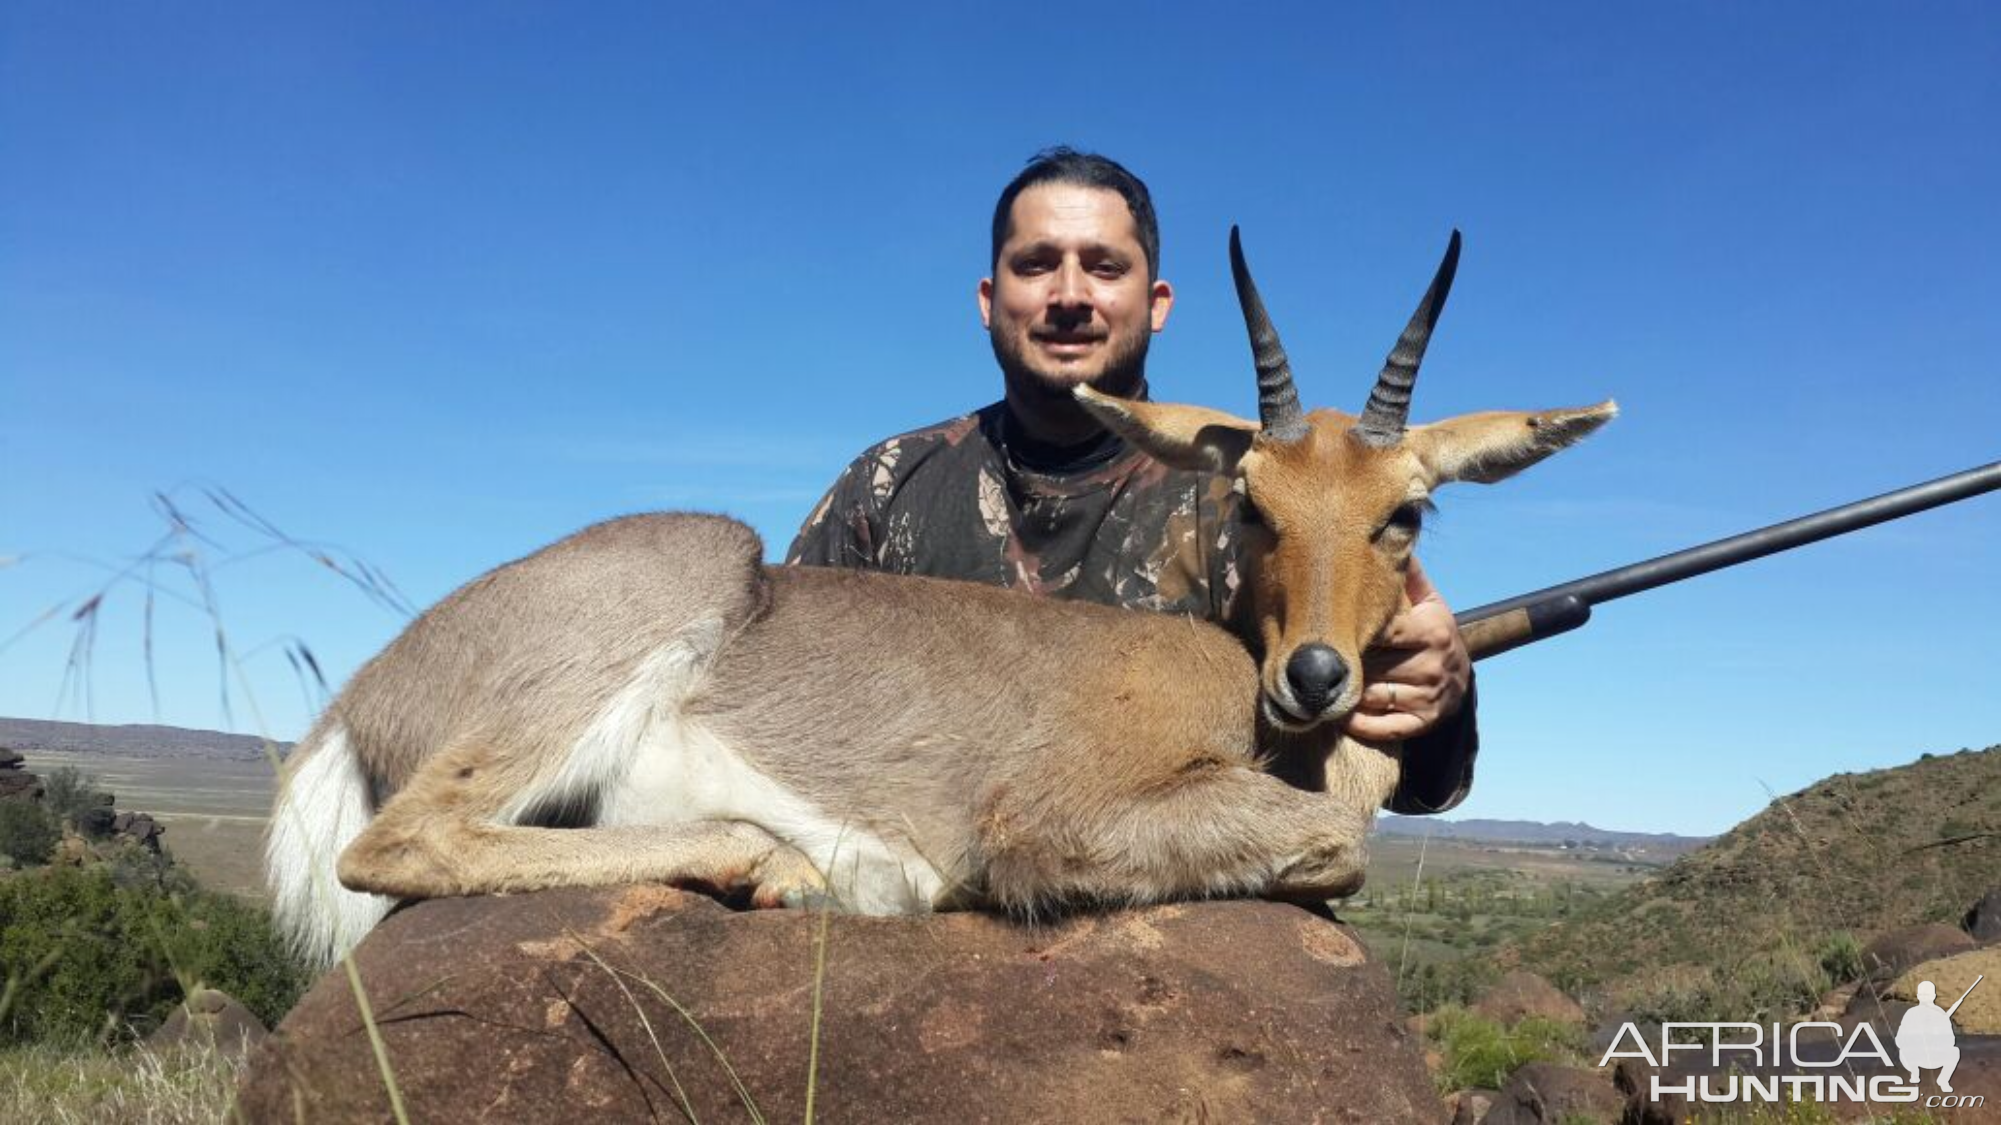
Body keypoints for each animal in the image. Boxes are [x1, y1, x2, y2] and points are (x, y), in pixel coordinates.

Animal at [270, 228, 1608, 964]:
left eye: (1406, 511)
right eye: (1250, 502)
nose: (1316, 678)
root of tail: (359, 698)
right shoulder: (1051, 820)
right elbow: (1334, 851)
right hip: (661, 600)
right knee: (409, 842)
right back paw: (807, 870)